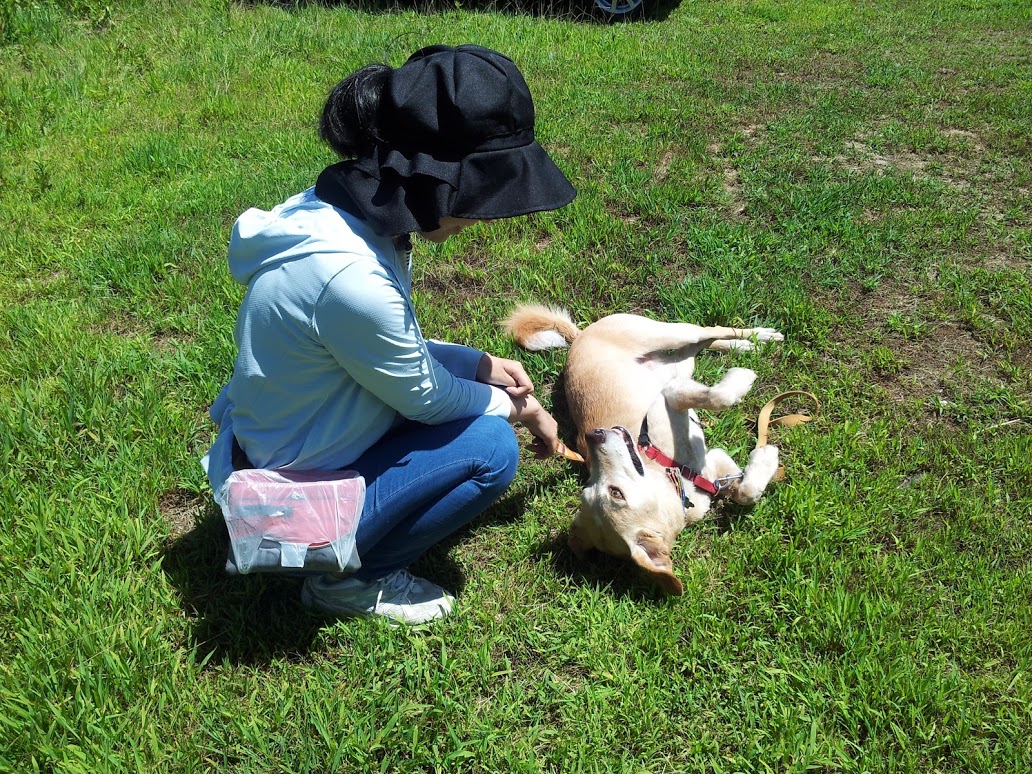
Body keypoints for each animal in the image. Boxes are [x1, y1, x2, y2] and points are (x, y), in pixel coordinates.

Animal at [505, 305, 780, 598]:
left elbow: (717, 397)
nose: (593, 435)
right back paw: (747, 345)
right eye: (592, 490)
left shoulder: (669, 397)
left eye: (614, 492)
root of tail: (579, 337)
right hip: (677, 360)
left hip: (664, 333)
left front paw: (741, 380)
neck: (674, 474)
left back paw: (758, 338)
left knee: (708, 332)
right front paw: (765, 458)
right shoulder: (713, 464)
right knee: (697, 347)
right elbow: (744, 491)